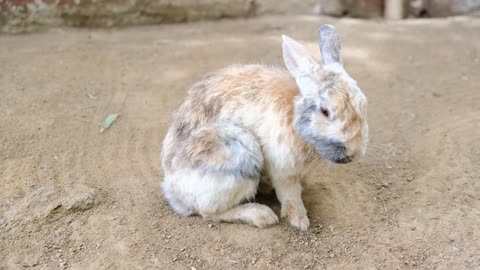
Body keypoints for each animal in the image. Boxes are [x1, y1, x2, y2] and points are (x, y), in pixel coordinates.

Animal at [161, 24, 368, 230]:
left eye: (363, 104)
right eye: (325, 111)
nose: (354, 153)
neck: (294, 113)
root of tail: (172, 190)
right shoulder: (283, 167)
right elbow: (290, 195)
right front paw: (300, 221)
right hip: (238, 153)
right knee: (209, 212)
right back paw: (261, 215)